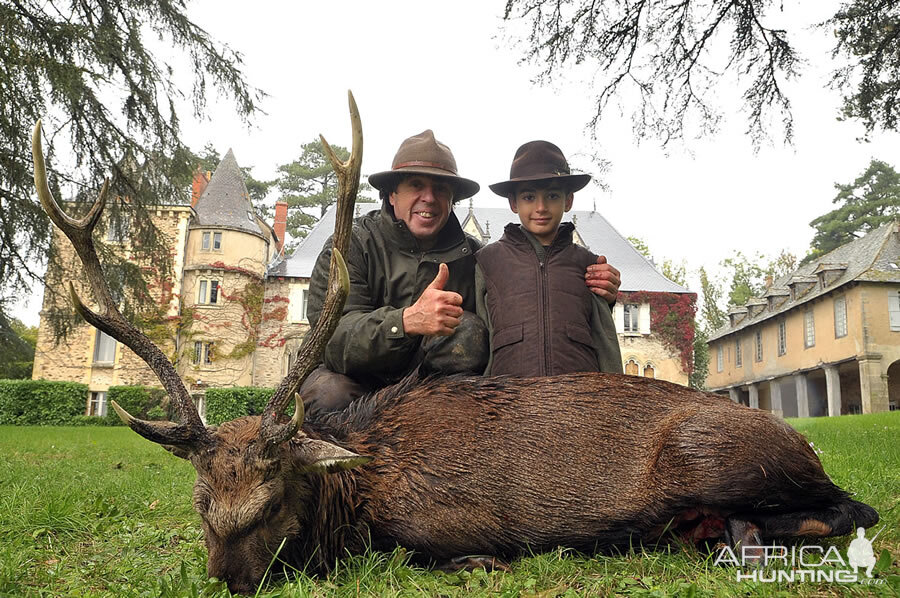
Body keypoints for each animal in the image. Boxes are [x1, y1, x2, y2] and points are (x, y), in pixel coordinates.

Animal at [31, 94, 876, 596]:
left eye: (273, 498)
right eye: (202, 503)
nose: (231, 583)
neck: (360, 489)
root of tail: (804, 443)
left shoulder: (448, 521)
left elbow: (437, 552)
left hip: (719, 454)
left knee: (850, 508)